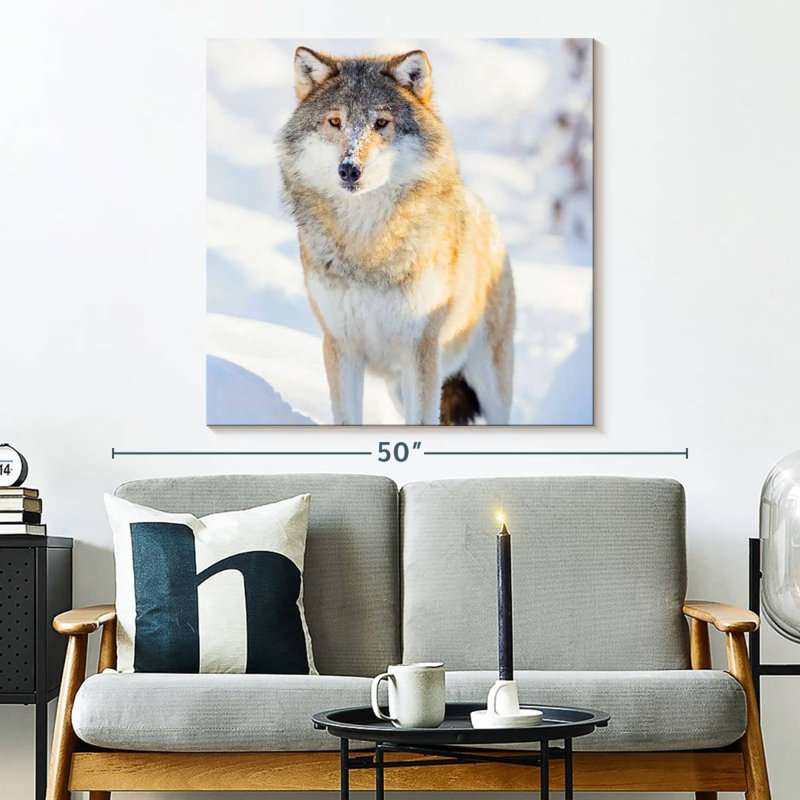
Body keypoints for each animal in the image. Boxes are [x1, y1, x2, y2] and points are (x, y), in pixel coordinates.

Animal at [277, 47, 515, 425]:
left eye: (381, 123)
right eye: (335, 122)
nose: (349, 169)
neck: (367, 244)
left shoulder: (420, 350)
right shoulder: (341, 346)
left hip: (487, 383)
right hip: (398, 388)